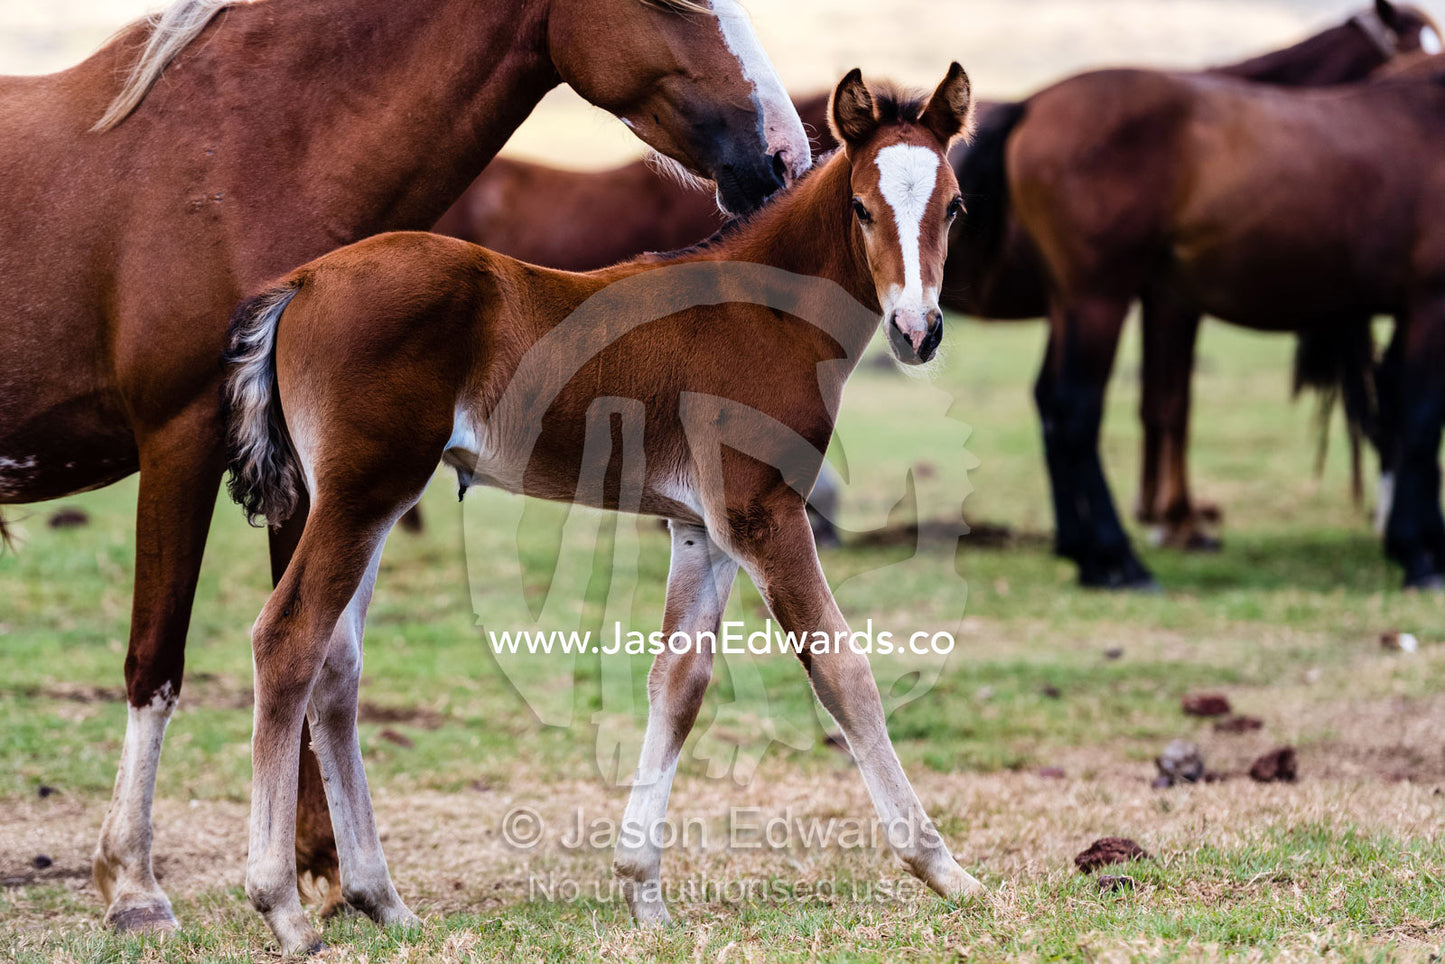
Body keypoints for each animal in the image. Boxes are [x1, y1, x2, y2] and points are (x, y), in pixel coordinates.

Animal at [0, 0, 810, 933]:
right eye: (668, 2)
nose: (785, 156)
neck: (238, 157)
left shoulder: (314, 482)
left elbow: (319, 662)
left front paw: (327, 868)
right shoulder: (181, 439)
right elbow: (158, 661)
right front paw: (135, 883)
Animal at [220, 66, 976, 954]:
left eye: (953, 205)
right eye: (860, 206)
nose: (917, 329)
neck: (762, 310)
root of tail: (304, 281)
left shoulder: (704, 527)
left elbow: (678, 682)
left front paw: (642, 890)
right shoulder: (764, 511)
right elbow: (842, 671)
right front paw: (943, 870)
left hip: (361, 500)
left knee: (337, 667)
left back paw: (382, 898)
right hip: (364, 492)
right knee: (289, 639)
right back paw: (282, 906)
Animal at [951, 0, 1442, 553]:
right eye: (1407, 49)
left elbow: (1162, 404)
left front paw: (1162, 514)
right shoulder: (1170, 304)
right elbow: (1170, 406)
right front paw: (1174, 519)